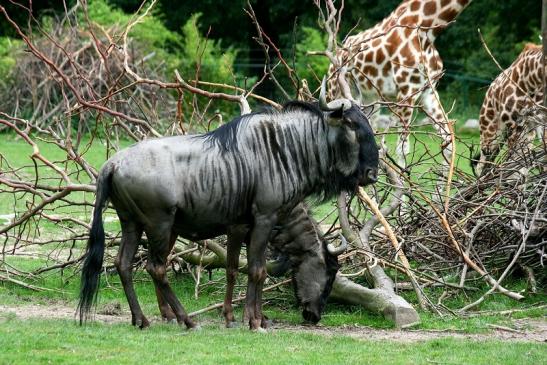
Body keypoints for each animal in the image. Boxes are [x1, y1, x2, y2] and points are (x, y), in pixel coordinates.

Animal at [328, 0, 474, 167]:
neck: (427, 30)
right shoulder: (406, 91)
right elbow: (402, 149)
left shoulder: (428, 92)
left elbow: (448, 143)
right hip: (334, 89)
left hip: (368, 99)